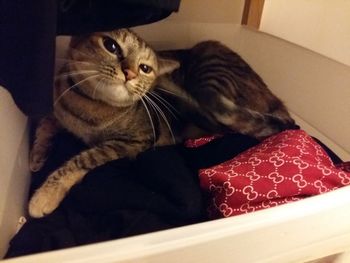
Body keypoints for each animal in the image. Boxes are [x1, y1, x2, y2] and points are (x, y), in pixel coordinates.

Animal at [28, 28, 296, 219]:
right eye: (111, 45)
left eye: (145, 68)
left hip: (209, 69)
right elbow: (45, 123)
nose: (130, 73)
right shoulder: (58, 109)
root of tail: (278, 102)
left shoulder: (135, 141)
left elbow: (83, 159)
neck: (89, 107)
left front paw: (46, 194)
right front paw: (37, 155)